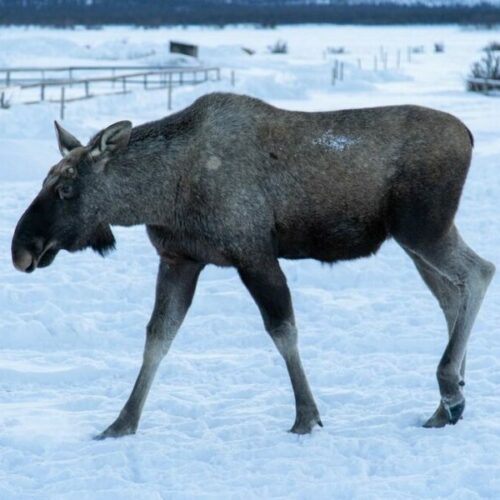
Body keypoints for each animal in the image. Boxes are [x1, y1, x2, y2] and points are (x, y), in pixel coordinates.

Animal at [11, 93, 496, 438]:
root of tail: (470, 134)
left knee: (478, 272)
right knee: (451, 294)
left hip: (421, 227)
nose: (21, 249)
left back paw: (449, 388)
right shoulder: (180, 259)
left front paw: (306, 416)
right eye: (45, 180)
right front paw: (121, 423)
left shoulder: (254, 253)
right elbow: (157, 337)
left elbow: (283, 331)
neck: (161, 193)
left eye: (68, 188)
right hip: (414, 239)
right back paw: (447, 403)